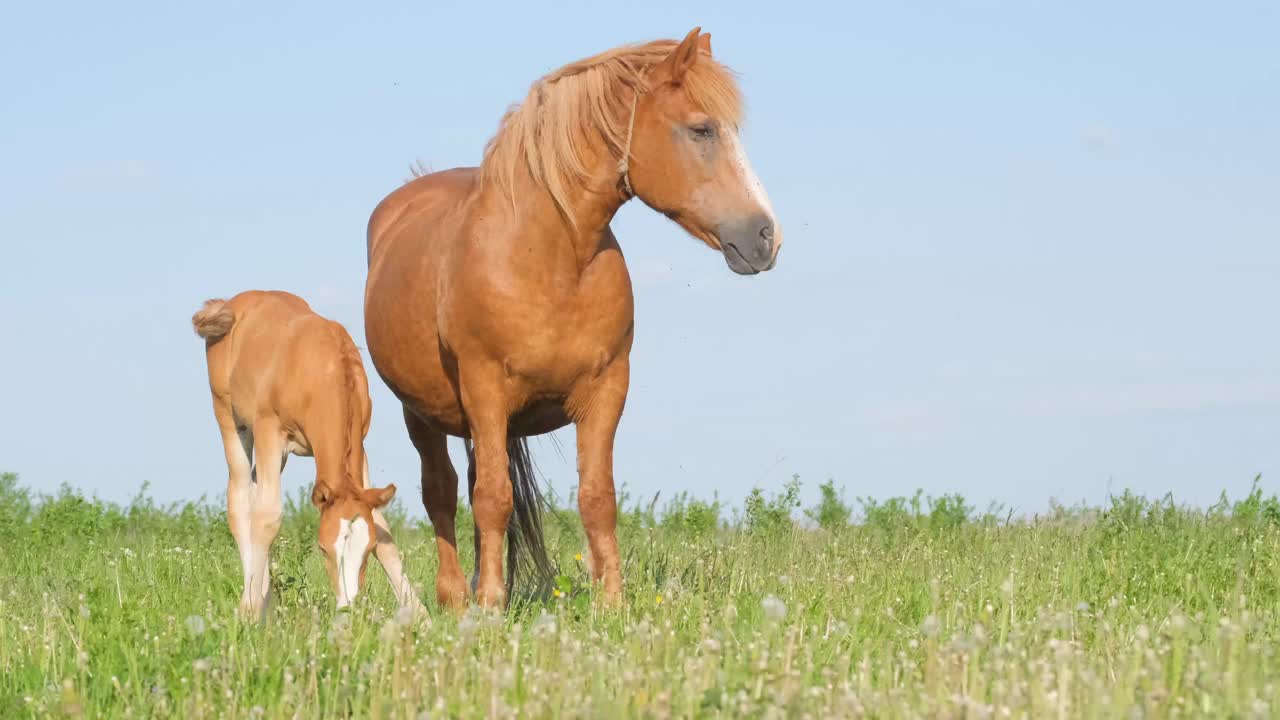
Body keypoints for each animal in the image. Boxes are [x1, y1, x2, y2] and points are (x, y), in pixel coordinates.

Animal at [192, 288, 419, 614]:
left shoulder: (360, 446)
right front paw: (249, 609)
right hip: (230, 418)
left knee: (254, 491)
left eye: (368, 549)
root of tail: (230, 303)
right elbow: (267, 517)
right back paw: (255, 599)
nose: (347, 607)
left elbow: (381, 523)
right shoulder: (269, 430)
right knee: (240, 497)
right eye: (322, 548)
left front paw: (420, 613)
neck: (321, 369)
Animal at [360, 29, 778, 609]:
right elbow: (492, 498)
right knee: (442, 491)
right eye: (702, 128)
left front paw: (612, 604)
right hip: (421, 414)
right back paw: (456, 598)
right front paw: (490, 607)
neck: (550, 258)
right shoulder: (484, 389)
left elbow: (597, 498)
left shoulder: (606, 390)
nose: (766, 237)